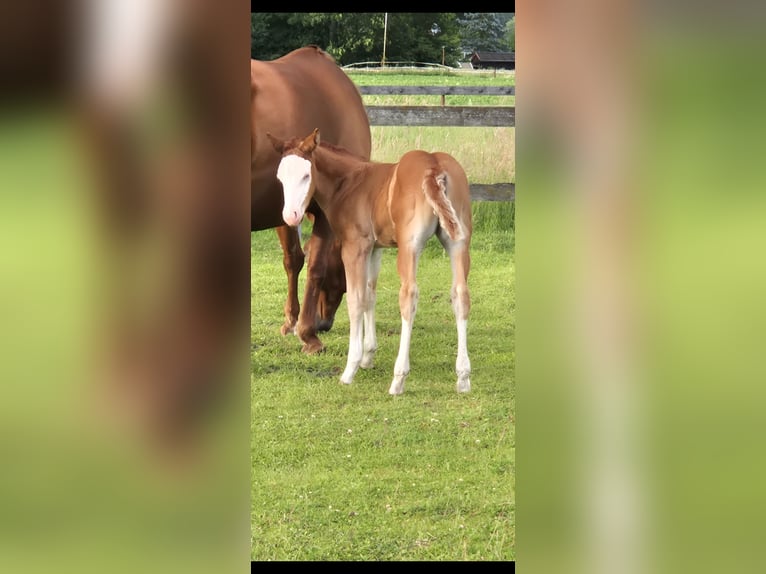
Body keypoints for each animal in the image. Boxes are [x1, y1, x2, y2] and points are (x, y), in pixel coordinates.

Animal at [251, 46, 371, 354]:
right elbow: (316, 265)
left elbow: (293, 259)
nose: (324, 323)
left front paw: (291, 322)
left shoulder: (283, 206)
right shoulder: (326, 212)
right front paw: (308, 335)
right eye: (343, 279)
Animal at [267, 128, 473, 395]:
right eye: (280, 177)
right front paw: (368, 356)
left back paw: (398, 379)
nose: (291, 216)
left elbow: (356, 300)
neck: (349, 183)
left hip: (410, 246)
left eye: (305, 175)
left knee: (409, 296)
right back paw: (463, 377)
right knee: (461, 295)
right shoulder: (375, 249)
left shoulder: (355, 247)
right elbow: (370, 294)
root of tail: (434, 166)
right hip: (458, 242)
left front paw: (351, 367)